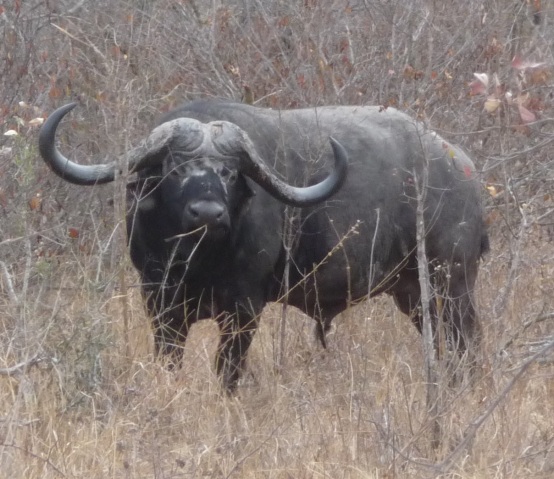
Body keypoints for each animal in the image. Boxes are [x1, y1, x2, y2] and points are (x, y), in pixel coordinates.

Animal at [37, 99, 488, 392]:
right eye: (175, 167)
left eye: (229, 172)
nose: (208, 213)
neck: (197, 259)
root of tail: (463, 170)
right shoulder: (160, 303)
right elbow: (169, 361)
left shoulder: (244, 310)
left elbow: (227, 371)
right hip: (413, 294)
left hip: (452, 284)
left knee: (467, 341)